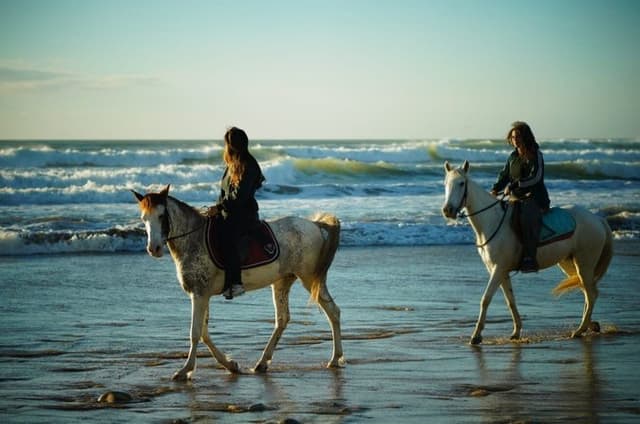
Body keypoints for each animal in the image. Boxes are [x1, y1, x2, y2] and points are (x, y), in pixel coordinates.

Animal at [132, 185, 344, 380]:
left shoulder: (199, 294)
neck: (194, 239)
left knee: (332, 311)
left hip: (309, 278)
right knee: (283, 319)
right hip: (282, 282)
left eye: (161, 216)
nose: (153, 249)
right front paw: (230, 365)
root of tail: (315, 225)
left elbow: (195, 332)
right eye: (143, 219)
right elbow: (204, 333)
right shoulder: (203, 294)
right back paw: (262, 363)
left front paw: (185, 370)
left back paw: (335, 359)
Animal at [441, 161, 613, 345]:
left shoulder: (498, 269)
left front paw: (476, 336)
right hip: (570, 264)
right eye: (445, 184)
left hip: (584, 263)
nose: (447, 210)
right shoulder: (501, 271)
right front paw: (516, 331)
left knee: (591, 294)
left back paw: (580, 330)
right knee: (587, 291)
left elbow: (485, 299)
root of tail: (598, 219)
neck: (491, 221)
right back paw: (589, 325)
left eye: (461, 183)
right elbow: (510, 301)